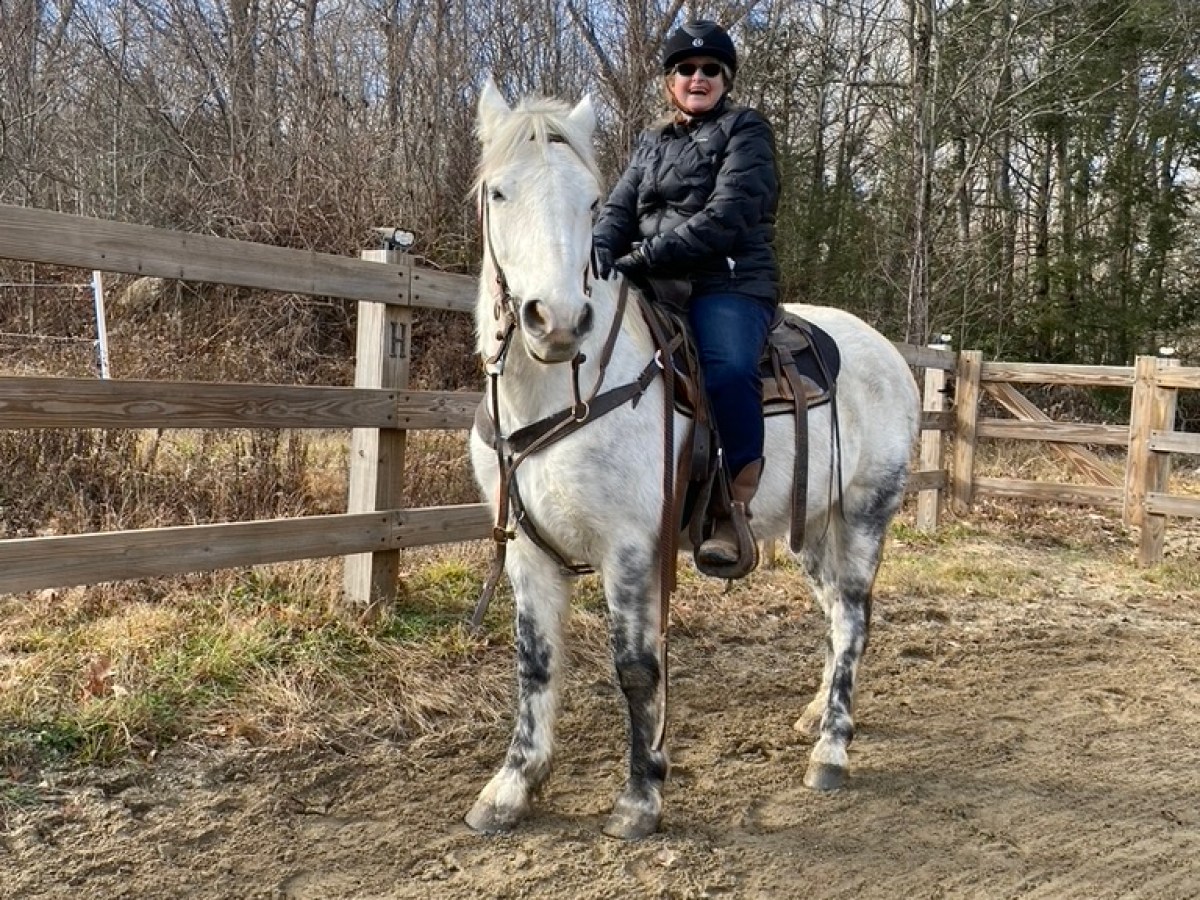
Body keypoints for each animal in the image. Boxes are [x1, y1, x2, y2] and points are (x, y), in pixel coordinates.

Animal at [466, 79, 921, 840]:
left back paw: (832, 748)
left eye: (591, 200)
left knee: (855, 617)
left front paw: (640, 796)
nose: (557, 322)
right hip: (815, 528)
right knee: (835, 614)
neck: (560, 396)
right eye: (499, 192)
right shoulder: (529, 551)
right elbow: (535, 666)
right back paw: (816, 716)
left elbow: (636, 668)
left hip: (865, 515)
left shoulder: (630, 548)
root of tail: (891, 355)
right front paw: (512, 785)